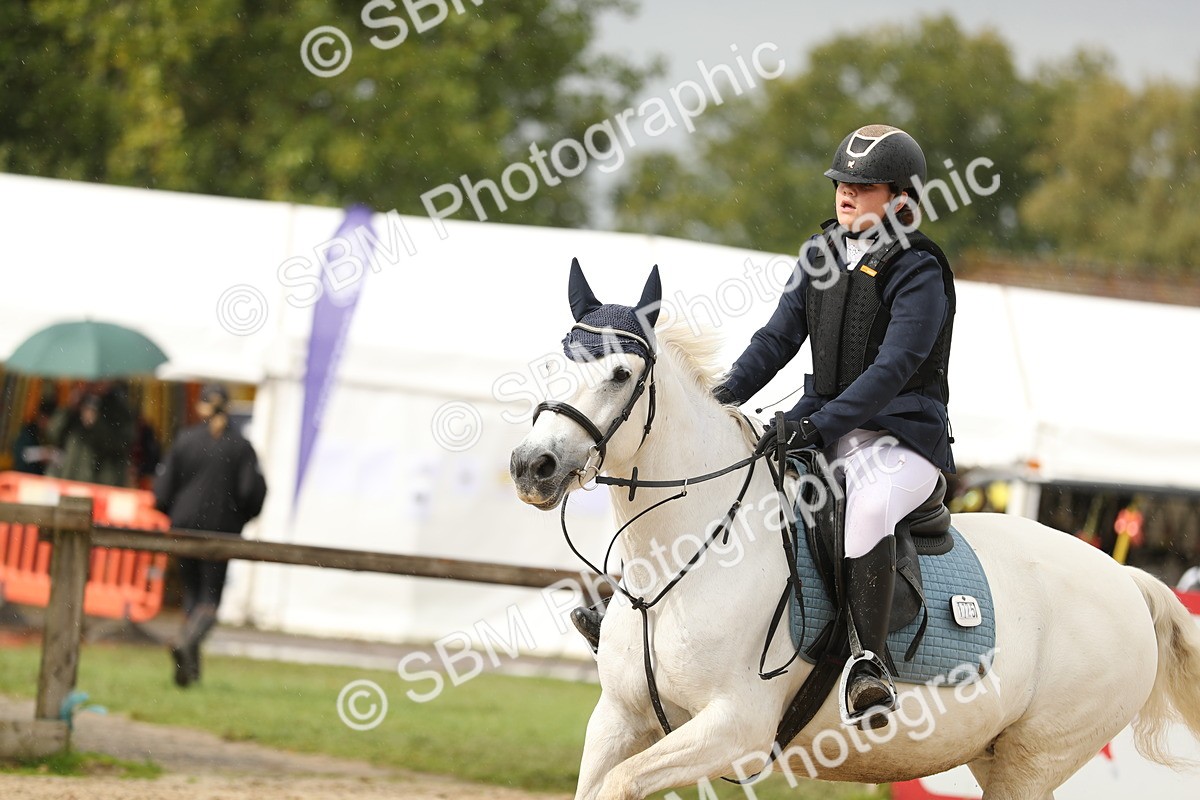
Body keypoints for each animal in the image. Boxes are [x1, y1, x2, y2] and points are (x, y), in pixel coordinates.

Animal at [509, 262, 1200, 800]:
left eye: (620, 375)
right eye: (548, 366)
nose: (532, 466)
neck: (683, 566)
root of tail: (1125, 580)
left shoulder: (732, 730)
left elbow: (623, 783)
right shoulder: (617, 719)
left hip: (1034, 760)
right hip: (998, 757)